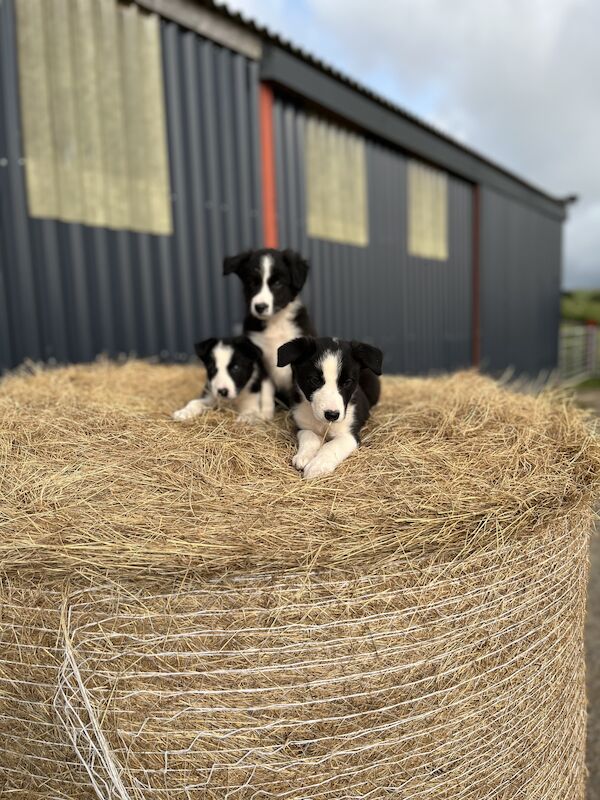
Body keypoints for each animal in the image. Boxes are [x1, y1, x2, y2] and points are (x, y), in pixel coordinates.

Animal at [223, 247, 316, 406]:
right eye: (252, 283)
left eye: (277, 283)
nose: (260, 307)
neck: (275, 322)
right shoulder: (259, 357)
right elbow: (266, 388)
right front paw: (265, 411)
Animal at [278, 334, 384, 478]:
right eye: (314, 380)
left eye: (347, 382)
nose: (332, 415)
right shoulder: (302, 426)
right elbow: (310, 437)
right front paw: (304, 457)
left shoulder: (349, 435)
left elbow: (332, 446)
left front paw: (318, 465)